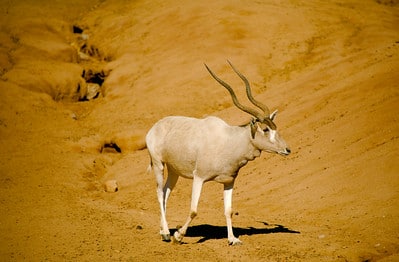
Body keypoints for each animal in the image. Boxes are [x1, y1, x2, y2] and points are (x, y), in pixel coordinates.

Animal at [146, 61, 290, 246]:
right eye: (265, 129)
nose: (287, 149)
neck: (230, 140)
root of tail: (155, 127)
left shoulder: (229, 181)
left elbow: (228, 210)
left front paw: (233, 239)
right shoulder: (199, 177)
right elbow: (193, 210)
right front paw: (179, 236)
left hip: (174, 171)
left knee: (165, 193)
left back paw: (162, 231)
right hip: (158, 164)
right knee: (158, 193)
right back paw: (166, 233)